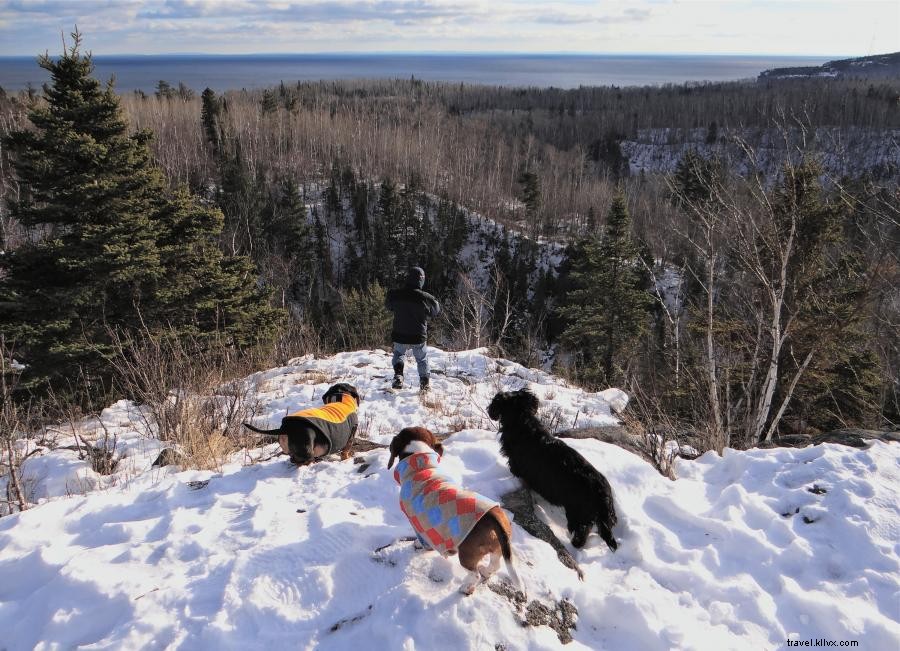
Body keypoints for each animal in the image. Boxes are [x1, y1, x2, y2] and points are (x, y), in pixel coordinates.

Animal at [386, 428, 520, 596]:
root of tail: (492, 515)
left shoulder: (418, 522)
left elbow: (423, 540)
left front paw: (418, 545)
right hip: (498, 548)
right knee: (495, 565)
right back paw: (486, 571)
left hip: (467, 555)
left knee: (474, 574)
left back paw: (466, 587)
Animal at [486, 390, 620, 552]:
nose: (490, 409)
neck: (523, 422)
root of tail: (604, 493)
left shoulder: (517, 464)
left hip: (577, 514)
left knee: (581, 532)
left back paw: (575, 544)